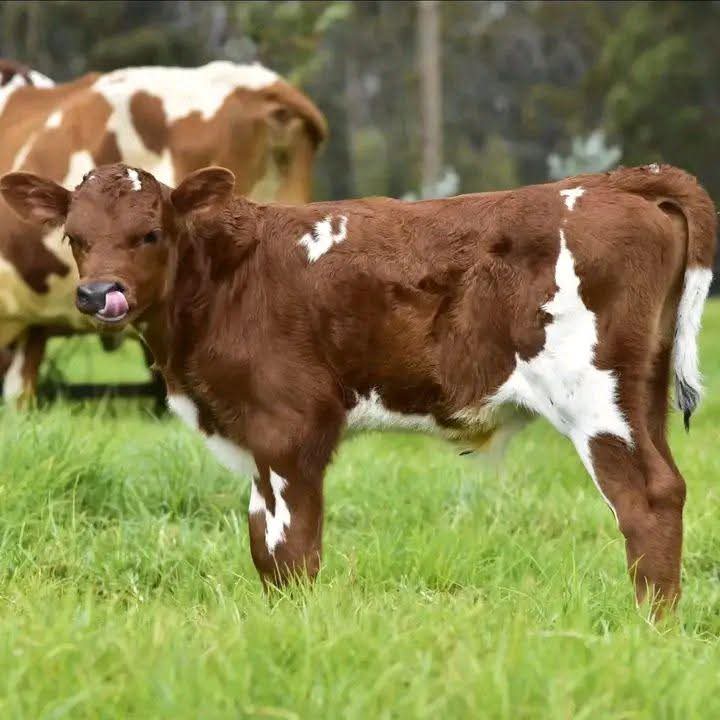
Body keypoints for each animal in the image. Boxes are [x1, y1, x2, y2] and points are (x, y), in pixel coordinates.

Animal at [1, 161, 715, 615]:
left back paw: (649, 627)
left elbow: (291, 550)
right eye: (75, 237)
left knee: (647, 500)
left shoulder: (291, 428)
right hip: (642, 396)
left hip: (596, 398)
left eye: (149, 233)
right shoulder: (258, 438)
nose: (98, 294)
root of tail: (614, 181)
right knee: (670, 487)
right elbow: (262, 545)